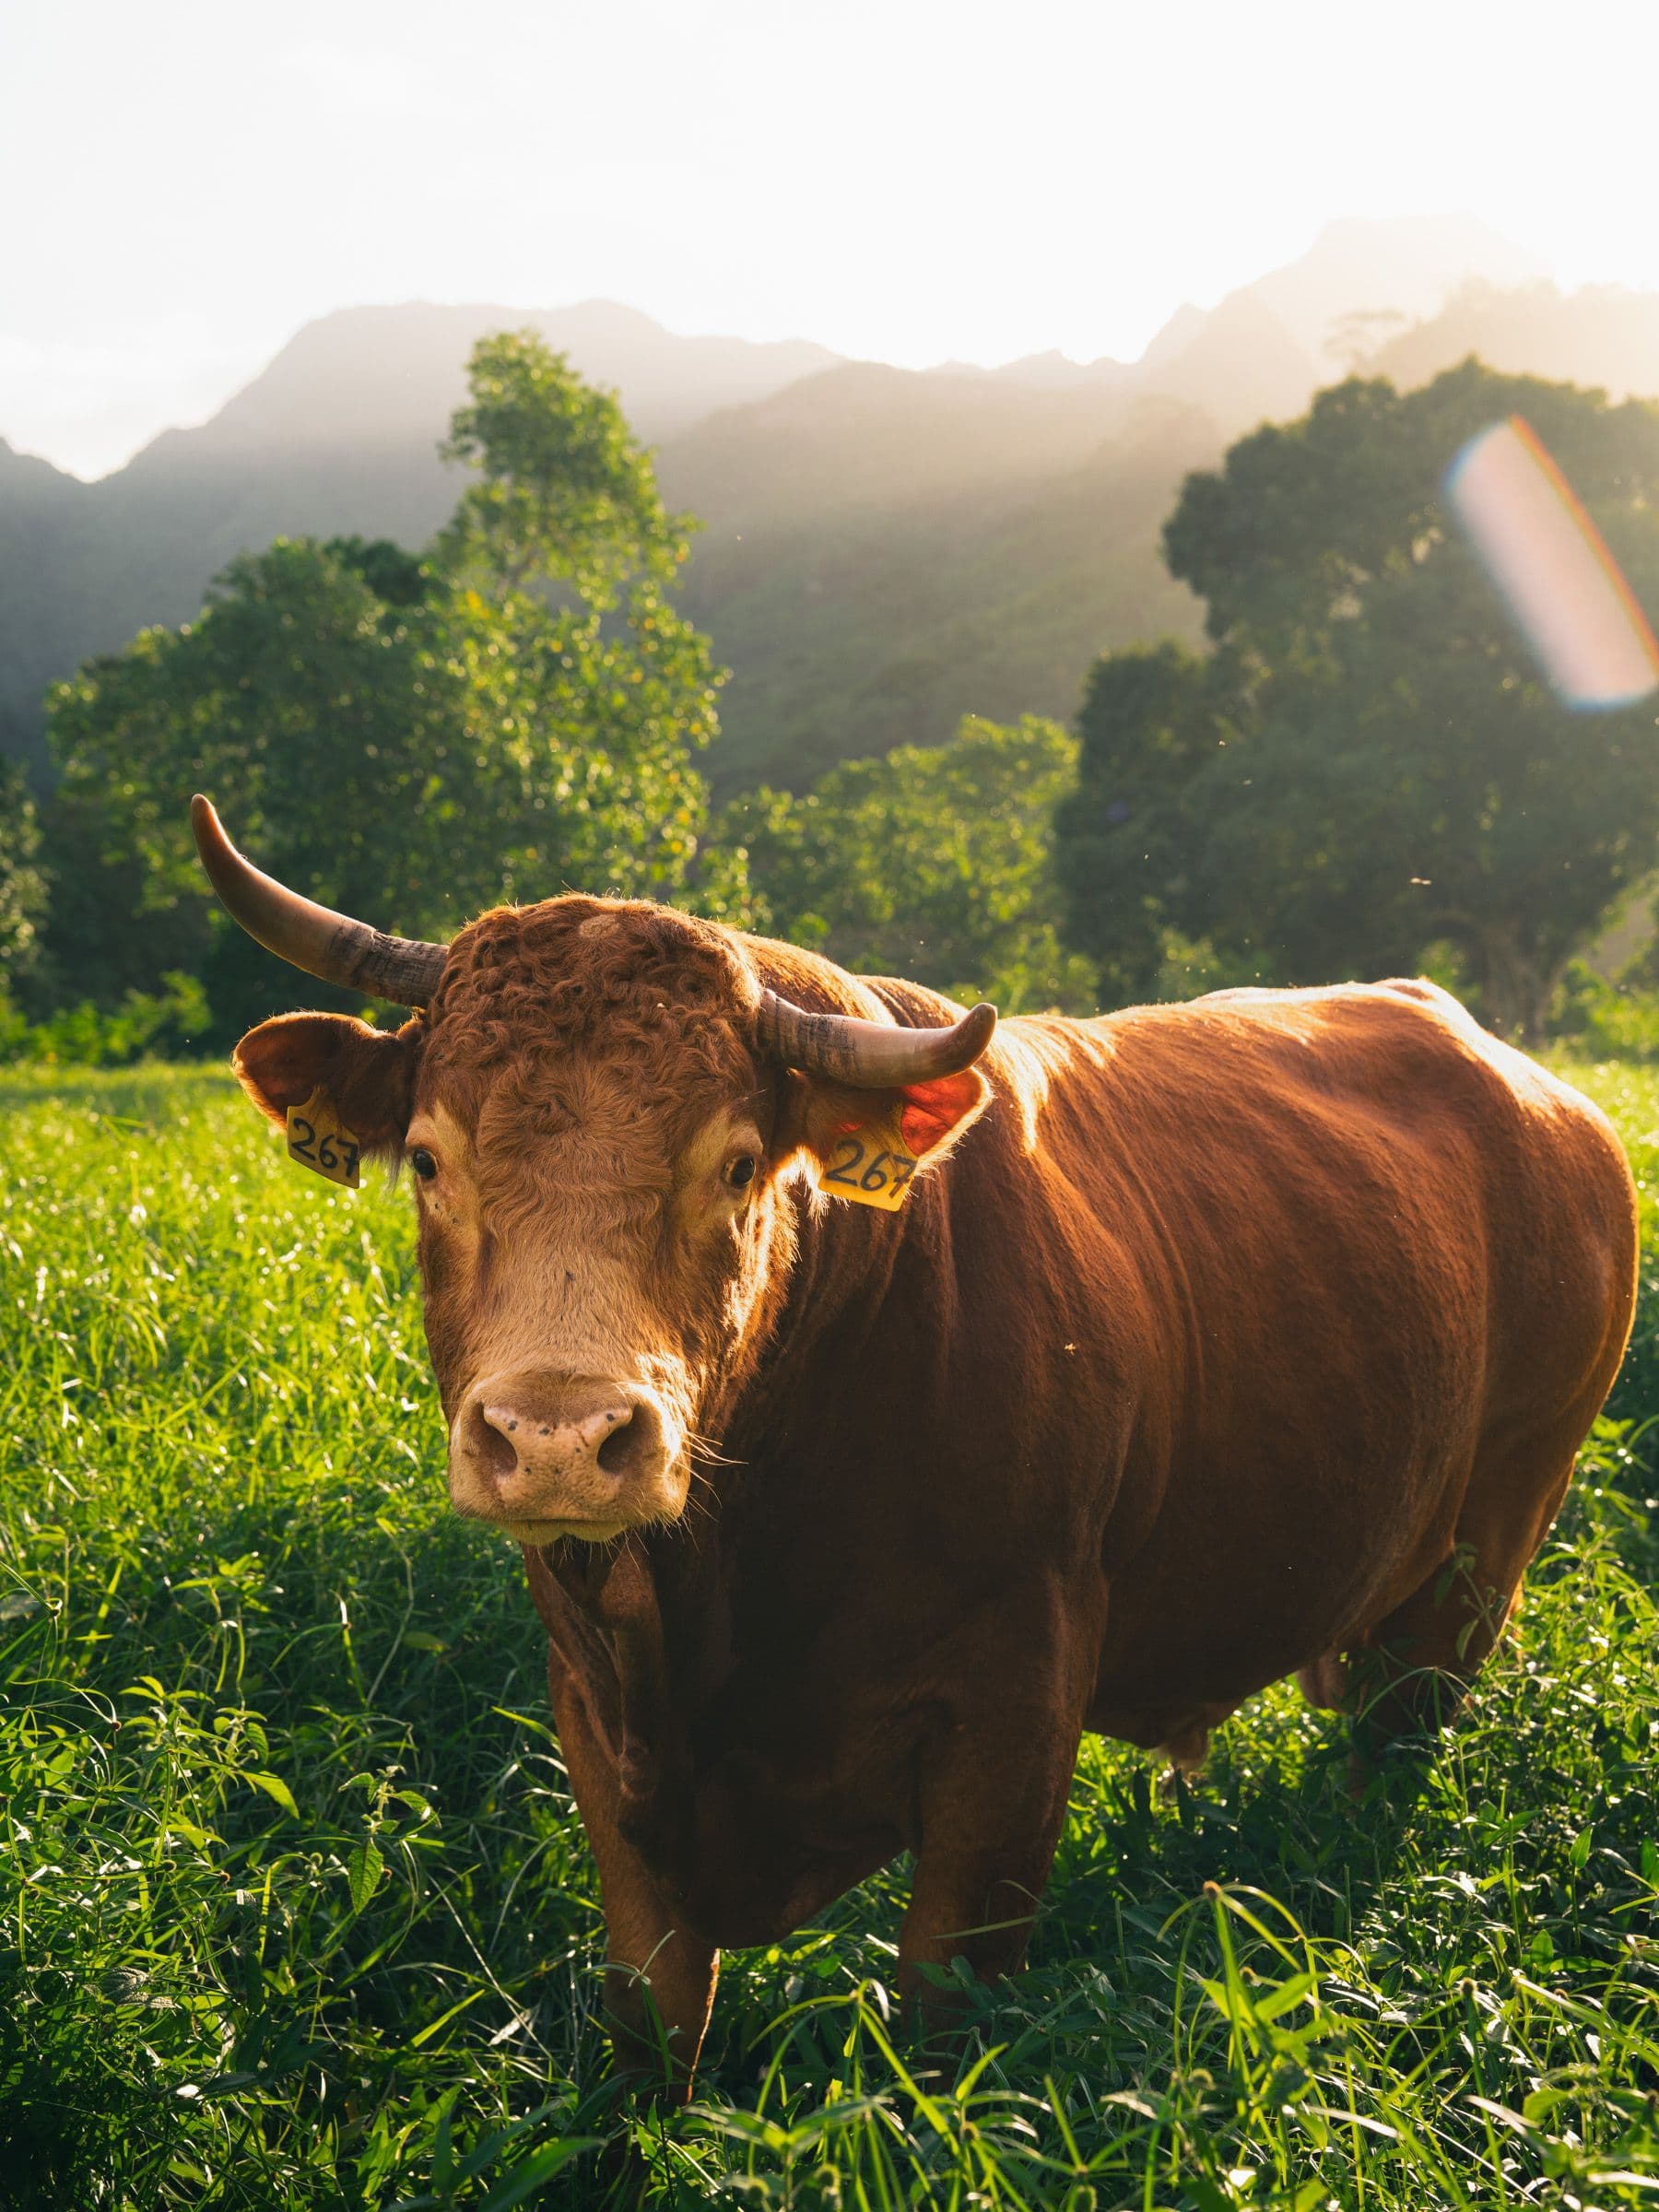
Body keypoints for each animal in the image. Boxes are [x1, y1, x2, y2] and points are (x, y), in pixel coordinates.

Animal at [192, 794, 1638, 2090]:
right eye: (432, 1161)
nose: (556, 1435)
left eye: (737, 1166)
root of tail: (1531, 1087)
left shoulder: (1014, 1717)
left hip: (1479, 1564)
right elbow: (652, 2028)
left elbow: (944, 2013)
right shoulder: (601, 1724)